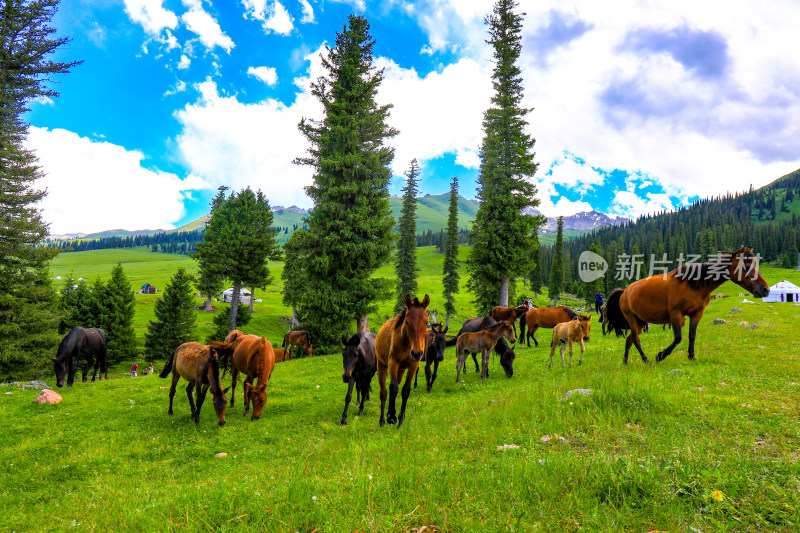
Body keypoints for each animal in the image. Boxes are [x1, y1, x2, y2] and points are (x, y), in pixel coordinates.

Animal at [376, 294, 432, 426]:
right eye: (407, 322)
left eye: (426, 322)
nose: (416, 353)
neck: (407, 345)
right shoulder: (392, 362)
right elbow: (393, 387)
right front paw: (391, 416)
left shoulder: (413, 365)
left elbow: (405, 389)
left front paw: (400, 418)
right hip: (381, 365)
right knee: (384, 392)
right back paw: (382, 420)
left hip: (401, 370)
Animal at [608, 247, 772, 364]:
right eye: (746, 266)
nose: (765, 290)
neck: (694, 284)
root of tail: (625, 291)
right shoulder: (676, 314)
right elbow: (678, 338)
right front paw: (660, 356)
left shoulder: (696, 314)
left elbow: (692, 335)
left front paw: (691, 356)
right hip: (631, 318)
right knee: (636, 339)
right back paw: (645, 359)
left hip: (641, 321)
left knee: (629, 340)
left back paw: (625, 361)